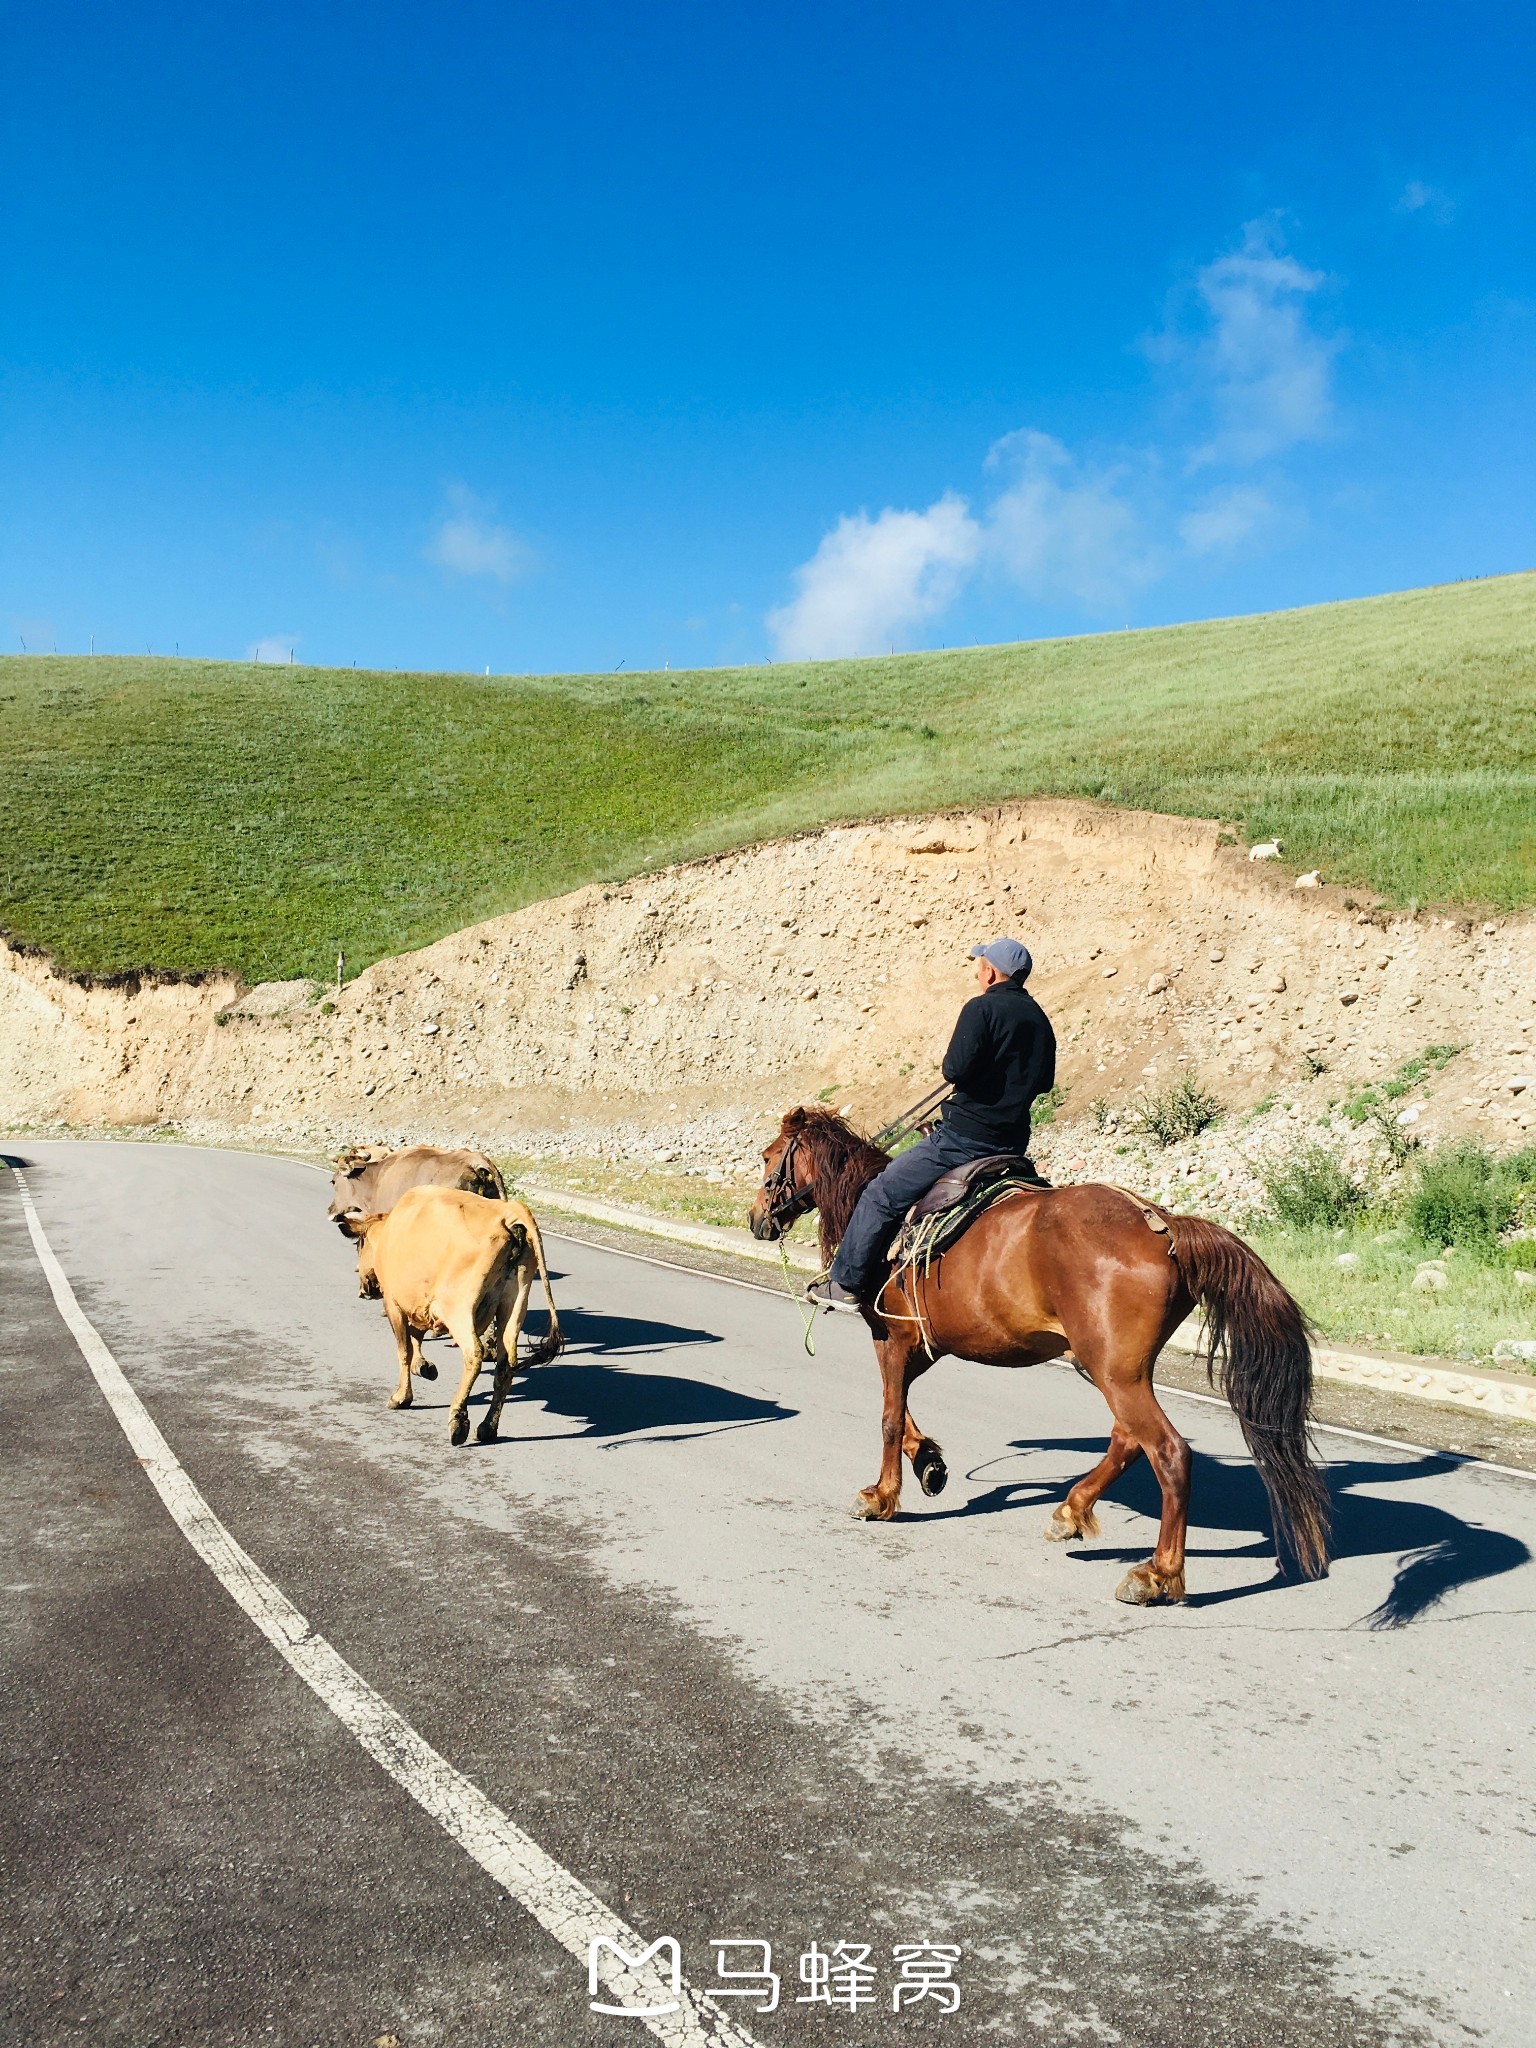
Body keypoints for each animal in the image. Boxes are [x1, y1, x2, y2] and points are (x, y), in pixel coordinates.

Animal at [339, 1179, 569, 1449]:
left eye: (359, 1245)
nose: (364, 1288)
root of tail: (507, 1211)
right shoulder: (421, 1305)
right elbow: (416, 1338)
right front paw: (423, 1367)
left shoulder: (394, 1303)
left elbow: (404, 1350)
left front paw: (402, 1396)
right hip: (513, 1303)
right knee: (505, 1366)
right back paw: (487, 1427)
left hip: (457, 1307)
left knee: (475, 1354)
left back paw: (458, 1420)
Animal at [753, 1105, 1327, 1597]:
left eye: (767, 1156)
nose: (757, 1217)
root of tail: (1165, 1227)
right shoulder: (923, 1345)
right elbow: (904, 1412)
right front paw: (930, 1464)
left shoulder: (891, 1337)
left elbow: (890, 1417)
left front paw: (881, 1496)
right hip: (1114, 1368)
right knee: (1128, 1440)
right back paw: (1071, 1513)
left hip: (1113, 1371)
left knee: (1169, 1452)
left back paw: (1157, 1575)